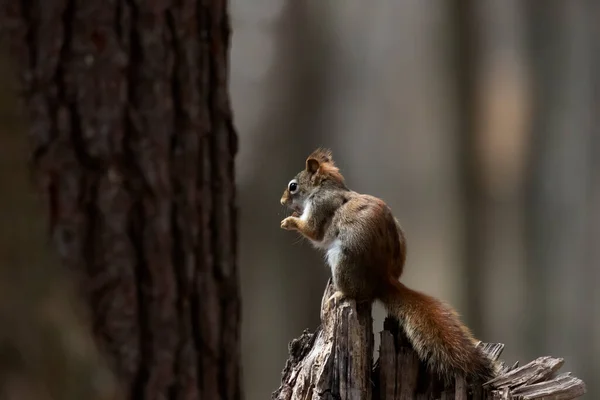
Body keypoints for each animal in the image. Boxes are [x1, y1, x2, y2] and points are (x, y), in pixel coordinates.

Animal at [278, 147, 500, 382]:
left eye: (293, 186)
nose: (282, 201)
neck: (325, 187)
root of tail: (383, 280)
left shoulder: (321, 206)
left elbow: (313, 231)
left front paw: (290, 221)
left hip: (344, 261)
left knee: (357, 293)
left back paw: (340, 294)